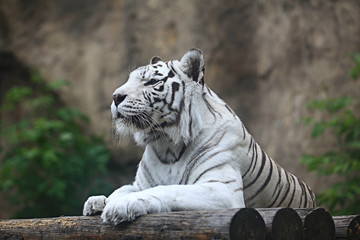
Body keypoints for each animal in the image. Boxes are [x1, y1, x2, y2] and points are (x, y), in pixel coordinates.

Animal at [83, 48, 316, 225]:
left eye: (150, 82)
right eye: (129, 79)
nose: (115, 97)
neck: (166, 143)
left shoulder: (223, 189)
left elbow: (169, 189)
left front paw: (120, 206)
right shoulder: (140, 183)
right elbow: (121, 189)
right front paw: (99, 202)